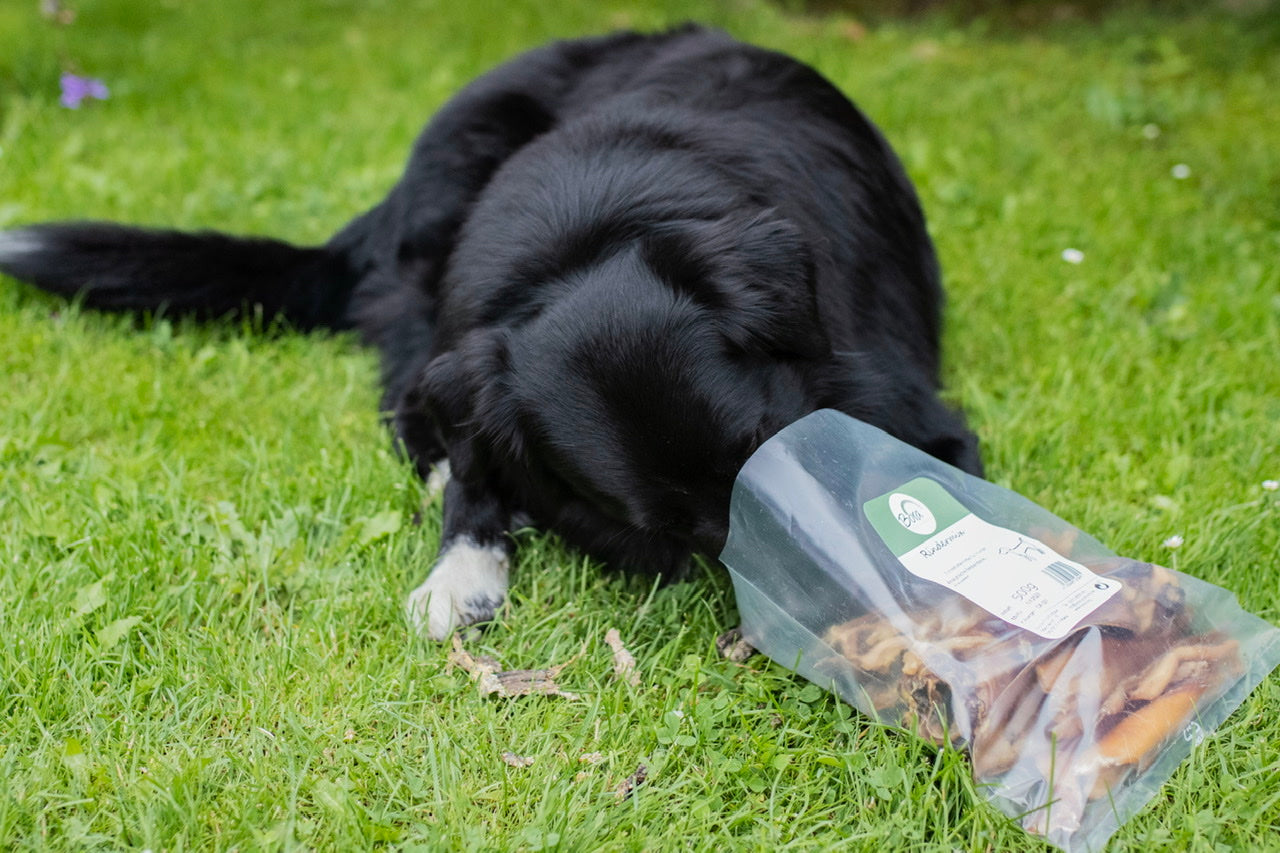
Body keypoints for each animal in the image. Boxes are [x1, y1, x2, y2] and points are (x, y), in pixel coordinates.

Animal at [0, 24, 977, 637]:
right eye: (681, 528)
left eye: (766, 446)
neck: (590, 233)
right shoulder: (478, 359)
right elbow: (477, 460)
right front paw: (461, 567)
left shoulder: (913, 415)